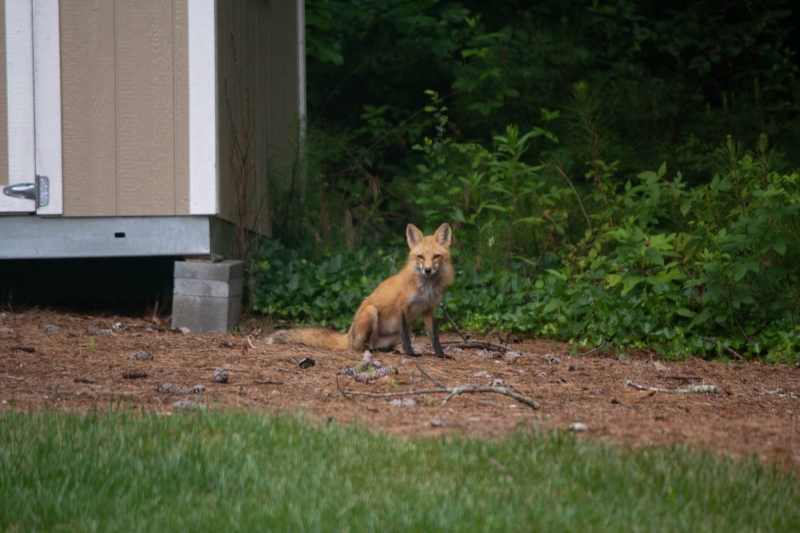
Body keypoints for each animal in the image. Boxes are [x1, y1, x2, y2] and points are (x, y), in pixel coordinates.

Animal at [267, 223, 454, 358]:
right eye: (420, 256)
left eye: (436, 256)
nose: (428, 270)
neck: (426, 287)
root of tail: (348, 336)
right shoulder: (401, 306)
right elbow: (407, 339)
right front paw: (411, 354)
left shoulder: (428, 309)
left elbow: (435, 337)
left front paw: (441, 355)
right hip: (371, 313)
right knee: (364, 347)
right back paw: (373, 352)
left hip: (406, 327)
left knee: (379, 346)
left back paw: (389, 350)